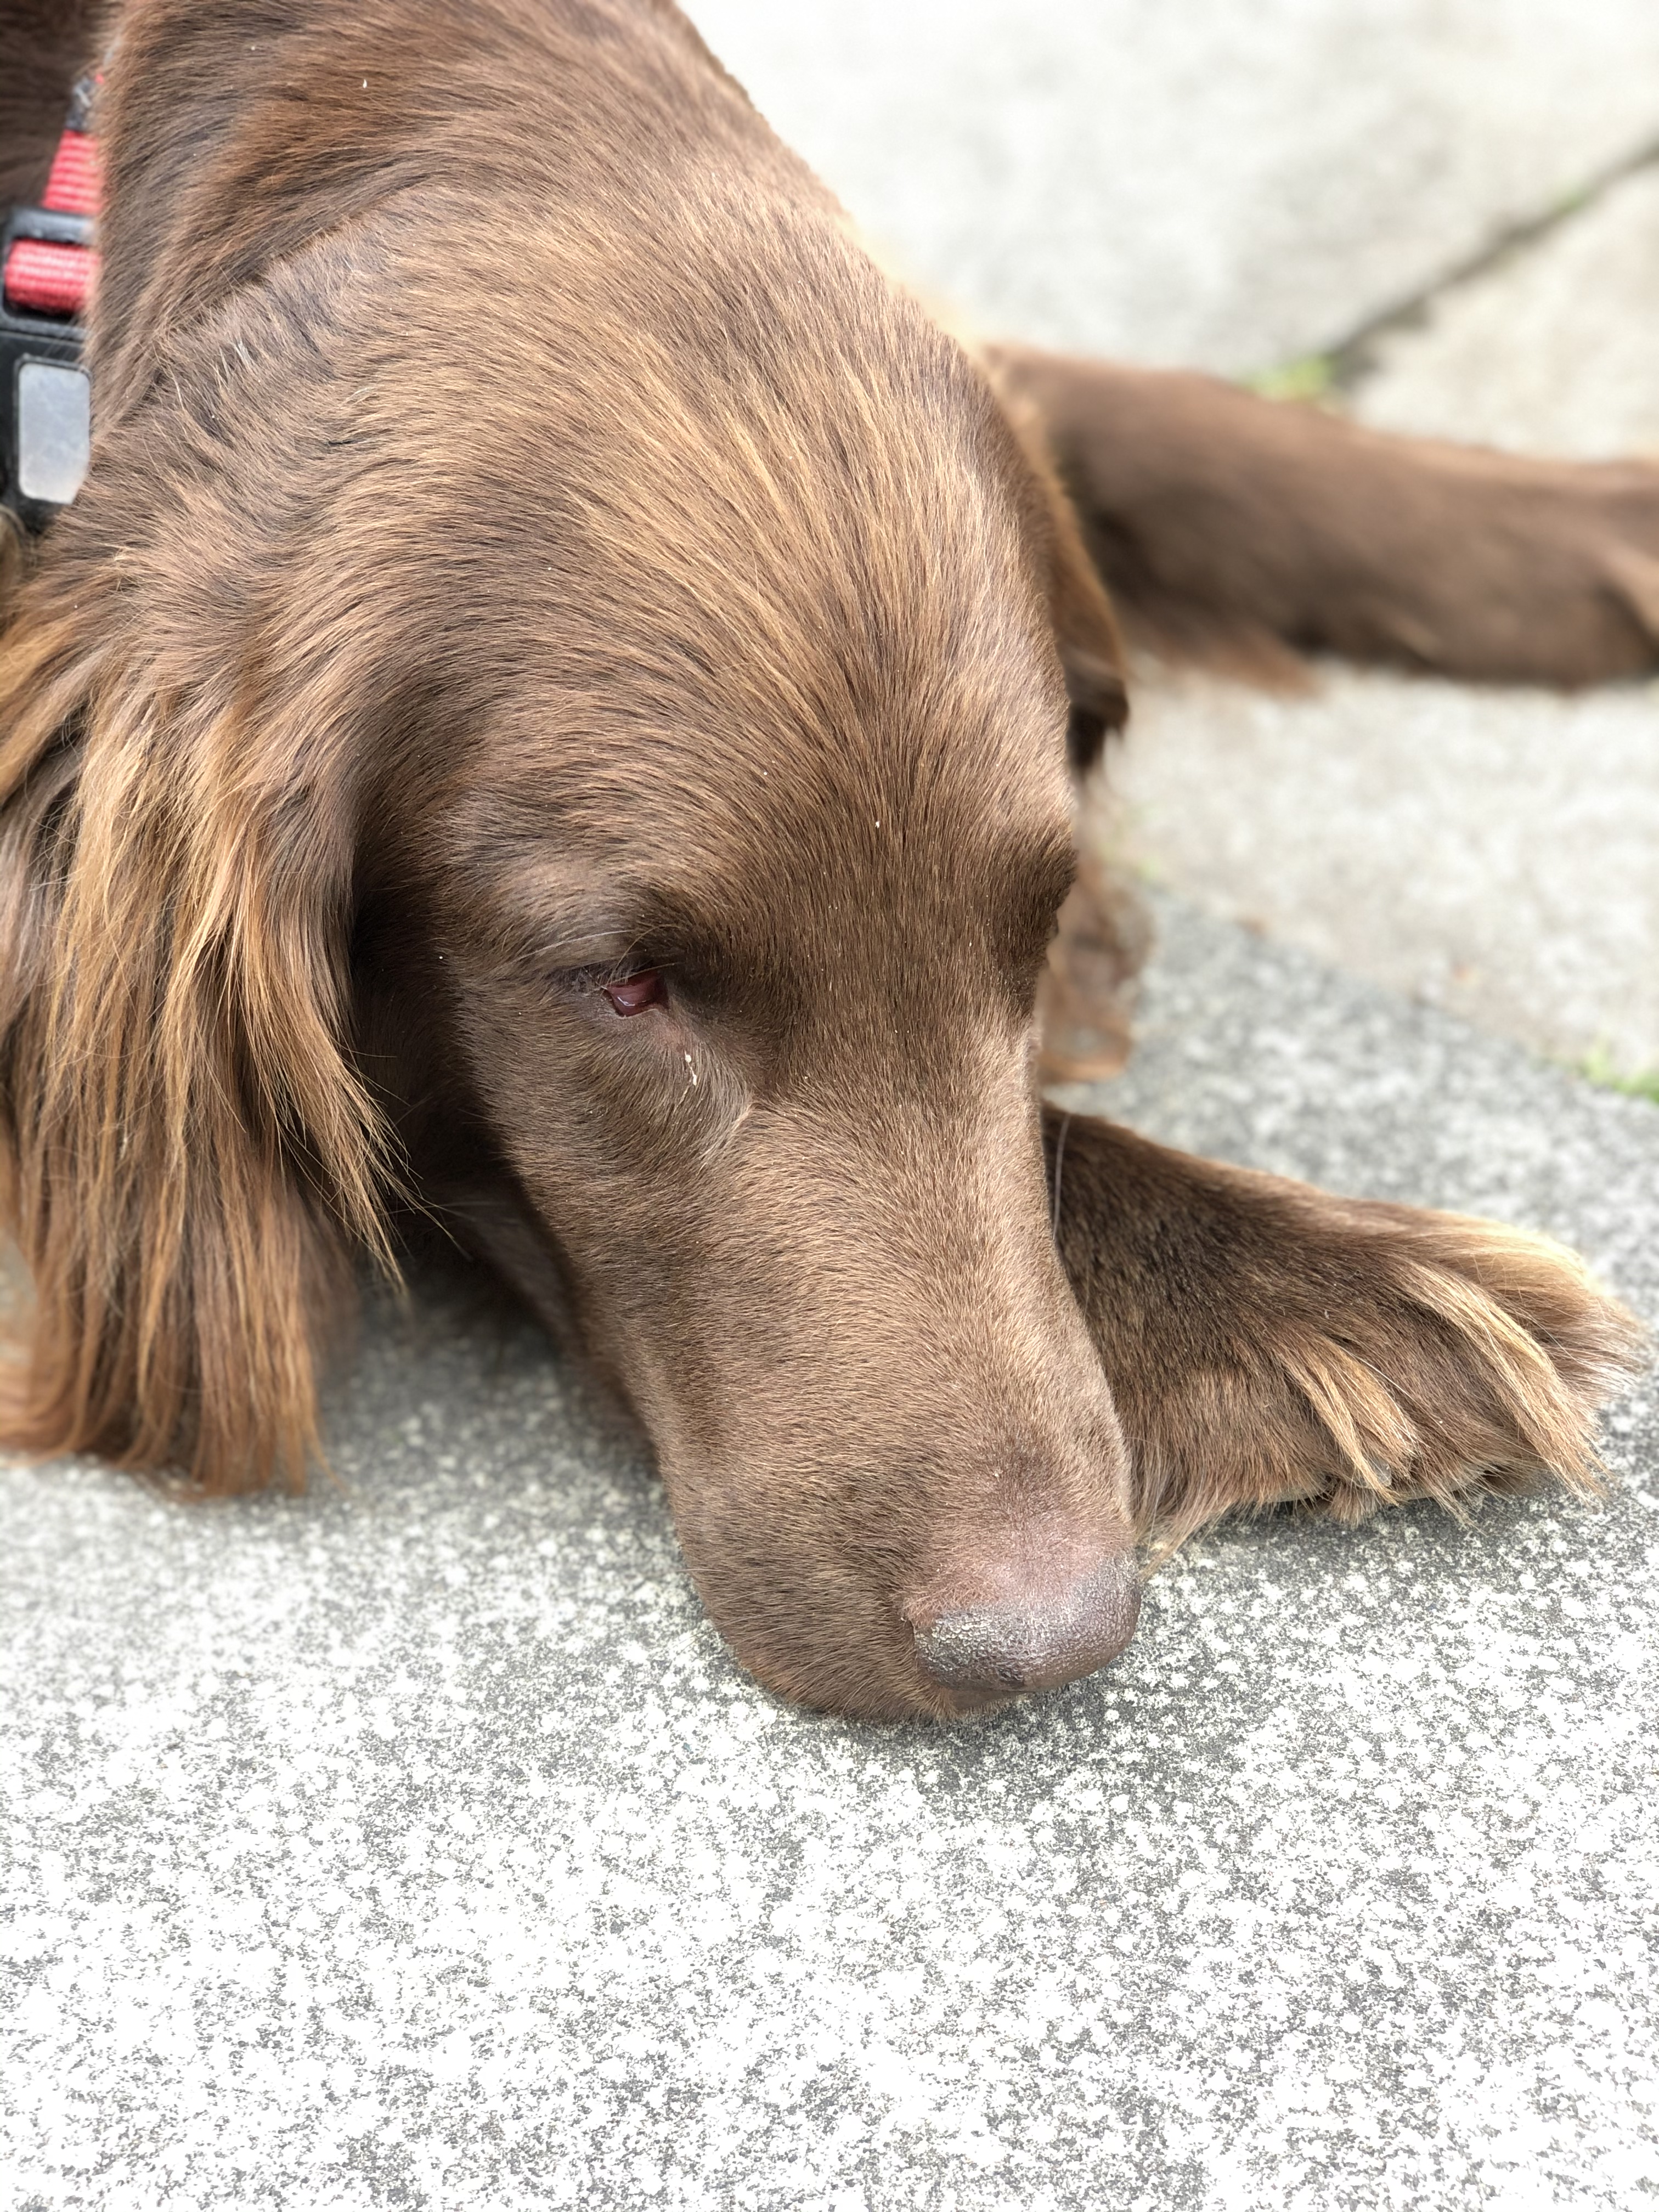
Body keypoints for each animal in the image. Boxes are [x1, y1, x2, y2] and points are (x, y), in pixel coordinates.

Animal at [0, 0, 1647, 1720]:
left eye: (1035, 926)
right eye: (625, 985)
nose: (1045, 1637)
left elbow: (1167, 418)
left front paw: (1586, 520)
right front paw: (1338, 1301)